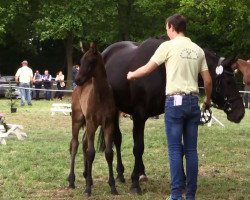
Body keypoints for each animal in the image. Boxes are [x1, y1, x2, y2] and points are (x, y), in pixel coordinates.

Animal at [67, 43, 118, 196]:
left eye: (91, 61)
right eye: (81, 60)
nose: (77, 80)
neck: (100, 96)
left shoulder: (108, 124)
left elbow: (109, 153)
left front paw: (113, 186)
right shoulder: (91, 123)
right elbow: (91, 153)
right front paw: (88, 188)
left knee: (84, 142)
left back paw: (86, 175)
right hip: (78, 120)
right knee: (75, 144)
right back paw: (72, 180)